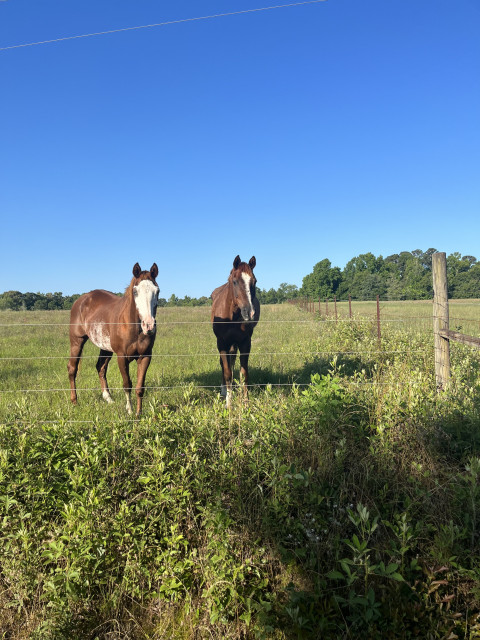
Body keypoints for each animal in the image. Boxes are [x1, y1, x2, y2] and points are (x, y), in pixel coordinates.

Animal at [67, 262, 159, 418]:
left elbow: (140, 387)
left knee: (100, 367)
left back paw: (108, 398)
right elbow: (127, 384)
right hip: (77, 342)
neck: (132, 326)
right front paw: (129, 410)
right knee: (72, 368)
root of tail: (80, 300)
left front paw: (138, 413)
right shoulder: (121, 357)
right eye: (135, 292)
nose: (149, 325)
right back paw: (74, 401)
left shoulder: (146, 356)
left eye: (157, 291)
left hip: (105, 347)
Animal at [211, 254, 260, 408]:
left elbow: (244, 374)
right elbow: (227, 372)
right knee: (225, 365)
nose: (249, 312)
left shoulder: (245, 342)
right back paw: (224, 391)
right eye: (234, 281)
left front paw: (245, 403)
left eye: (254, 281)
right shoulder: (221, 343)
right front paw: (228, 403)